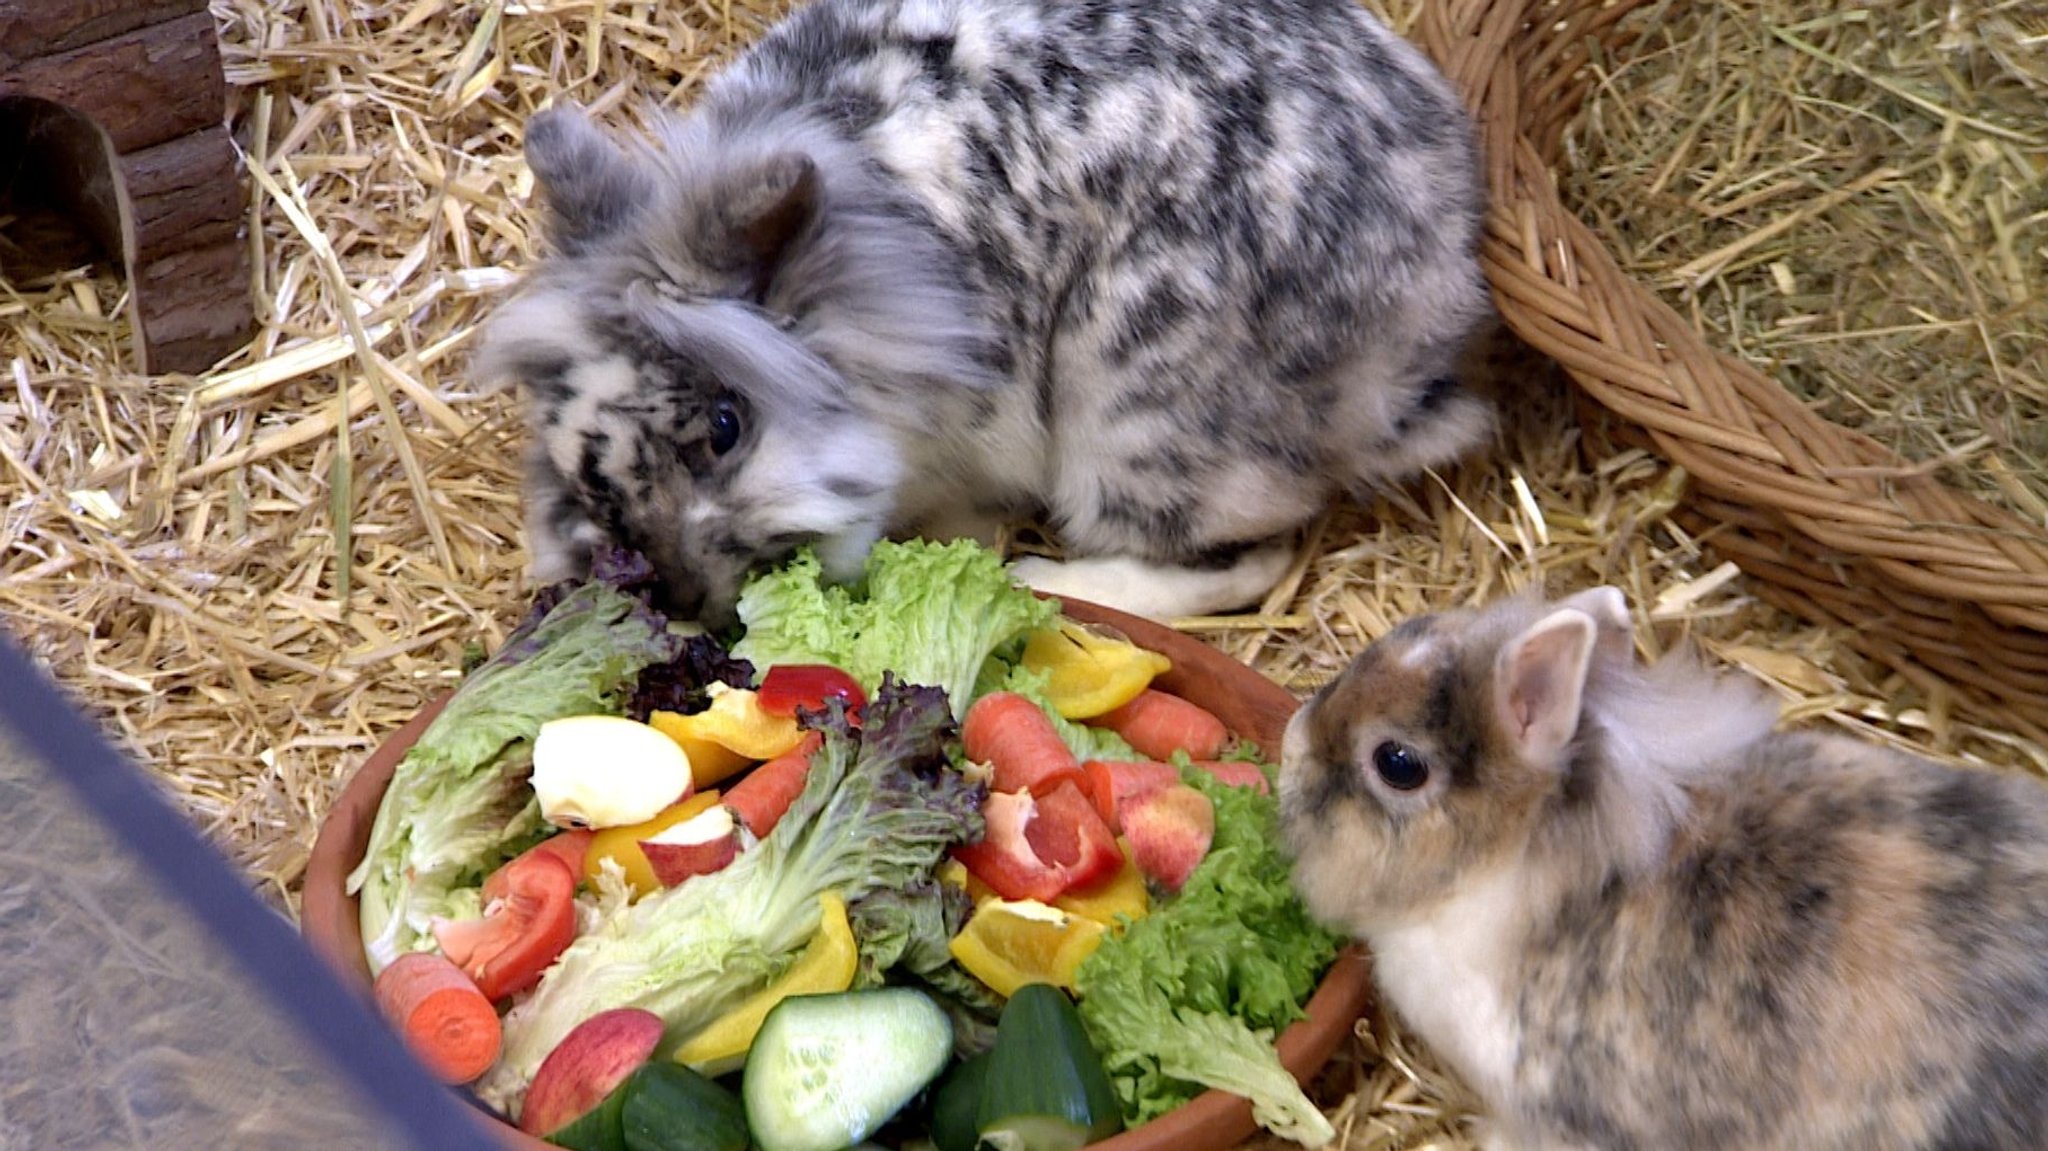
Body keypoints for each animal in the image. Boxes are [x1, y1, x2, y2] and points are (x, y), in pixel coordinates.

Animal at [485, 0, 1499, 622]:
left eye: (728, 427)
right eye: (582, 479)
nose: (689, 599)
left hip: (1140, 426)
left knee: (1253, 555)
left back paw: (1041, 577)